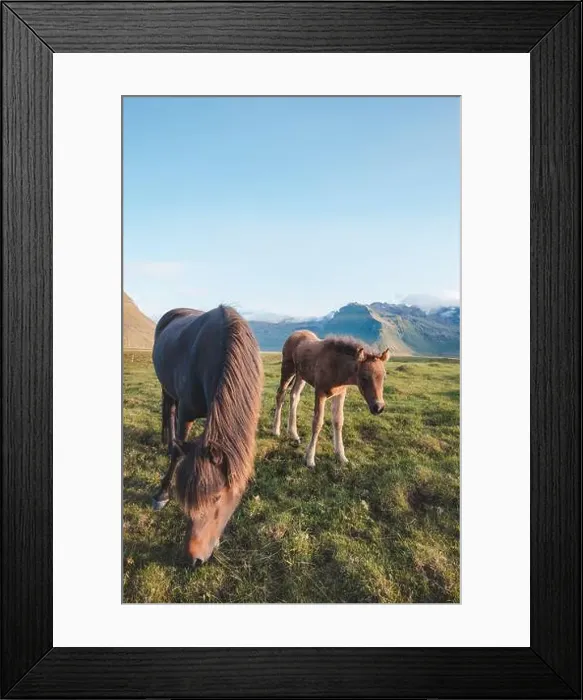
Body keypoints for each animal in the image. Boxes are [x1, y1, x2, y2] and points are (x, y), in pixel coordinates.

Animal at [151, 305, 263, 567]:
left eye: (218, 497)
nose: (194, 560)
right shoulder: (187, 414)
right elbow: (177, 454)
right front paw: (162, 493)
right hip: (167, 389)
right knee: (168, 410)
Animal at [272, 331, 389, 468]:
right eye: (364, 377)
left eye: (384, 377)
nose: (378, 407)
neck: (337, 367)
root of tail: (294, 334)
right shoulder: (320, 393)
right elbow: (317, 423)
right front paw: (310, 459)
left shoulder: (340, 394)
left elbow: (338, 421)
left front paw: (341, 456)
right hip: (288, 369)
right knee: (280, 395)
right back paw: (276, 430)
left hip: (301, 375)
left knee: (294, 396)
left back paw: (293, 434)